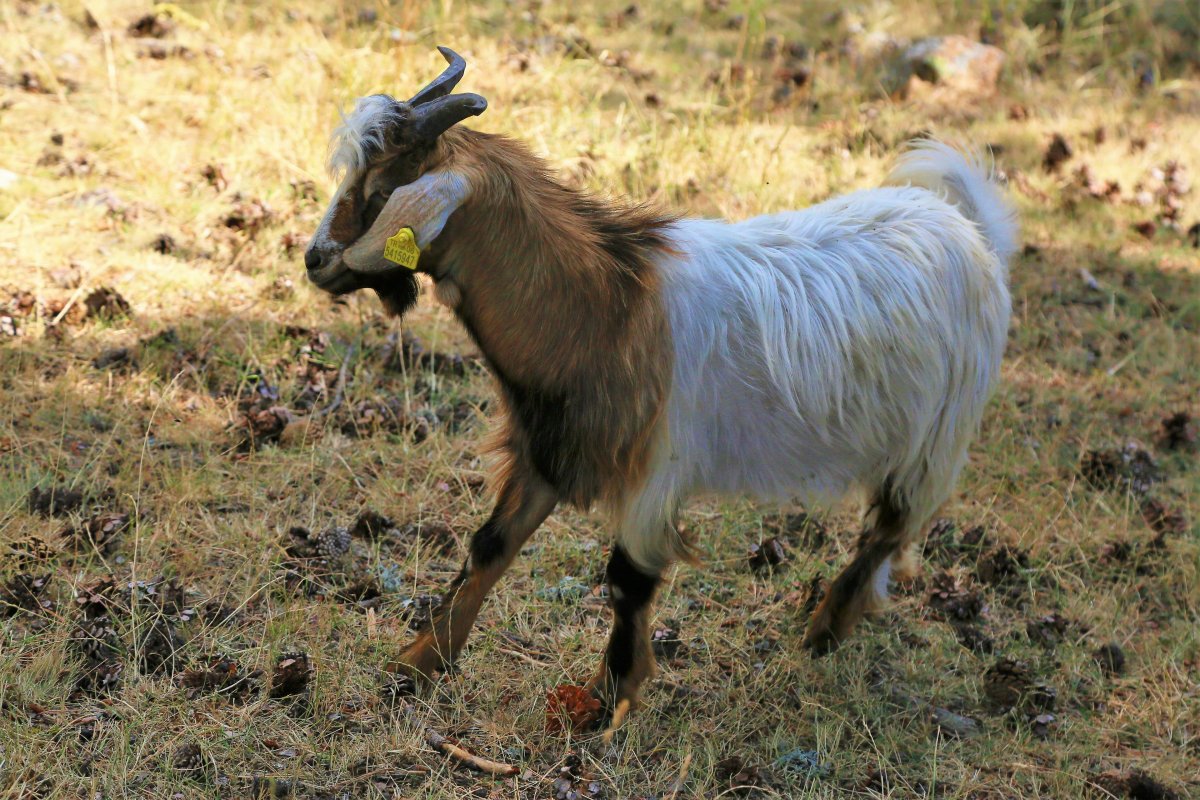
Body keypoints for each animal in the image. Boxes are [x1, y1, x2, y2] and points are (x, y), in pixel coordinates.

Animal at [304, 45, 1017, 724]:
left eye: (382, 190)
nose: (315, 260)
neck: (608, 310)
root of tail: (964, 224)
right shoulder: (549, 449)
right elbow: (490, 546)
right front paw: (419, 663)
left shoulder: (654, 476)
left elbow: (627, 581)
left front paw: (605, 702)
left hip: (936, 439)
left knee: (889, 529)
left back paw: (825, 631)